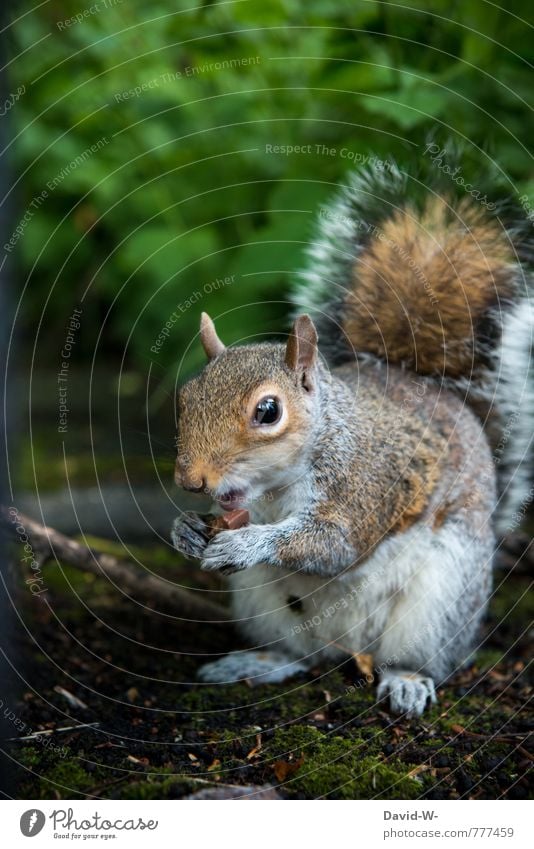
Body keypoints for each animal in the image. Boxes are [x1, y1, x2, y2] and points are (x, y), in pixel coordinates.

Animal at [173, 152, 534, 716]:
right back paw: (259, 663)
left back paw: (407, 681)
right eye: (185, 397)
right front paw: (185, 530)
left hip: (441, 596)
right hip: (264, 604)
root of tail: (351, 646)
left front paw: (249, 543)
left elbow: (333, 545)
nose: (192, 481)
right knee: (300, 653)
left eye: (268, 411)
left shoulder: (368, 482)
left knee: (413, 656)